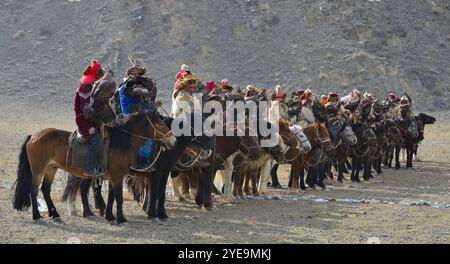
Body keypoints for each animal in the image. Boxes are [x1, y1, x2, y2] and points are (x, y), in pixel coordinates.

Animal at [11, 110, 177, 224]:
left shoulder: (113, 176)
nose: (173, 140)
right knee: (33, 190)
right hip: (38, 170)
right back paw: (37, 216)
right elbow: (118, 197)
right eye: (160, 124)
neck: (120, 142)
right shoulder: (117, 175)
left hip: (51, 168)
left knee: (46, 189)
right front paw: (121, 219)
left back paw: (55, 214)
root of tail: (33, 136)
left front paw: (110, 216)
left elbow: (111, 196)